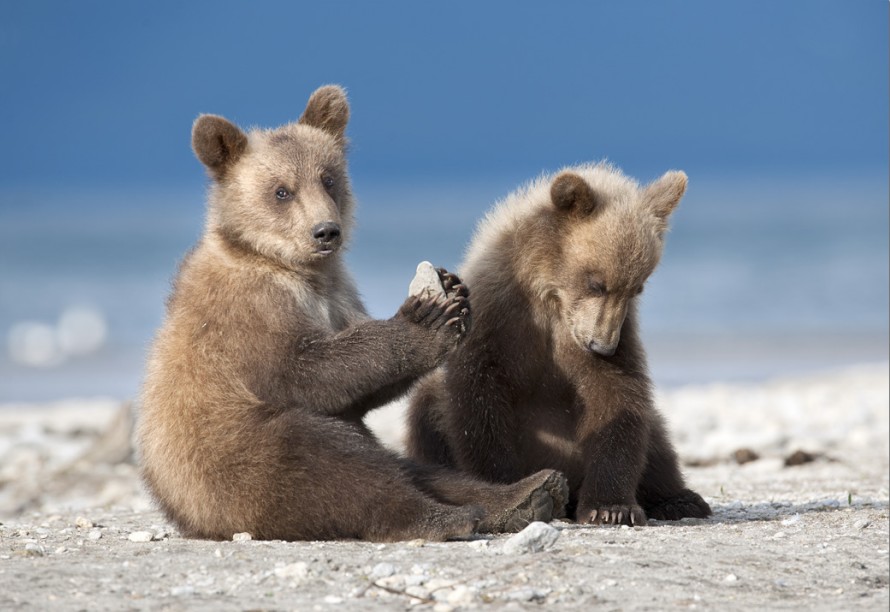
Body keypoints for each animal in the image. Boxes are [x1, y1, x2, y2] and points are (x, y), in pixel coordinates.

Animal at [137, 86, 708, 540]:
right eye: (282, 190)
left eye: (329, 179)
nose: (326, 231)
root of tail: (185, 516)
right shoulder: (247, 310)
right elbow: (304, 369)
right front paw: (427, 320)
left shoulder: (342, 295)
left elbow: (616, 401)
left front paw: (610, 506)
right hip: (234, 462)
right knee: (328, 468)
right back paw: (444, 516)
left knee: (418, 468)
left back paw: (544, 495)